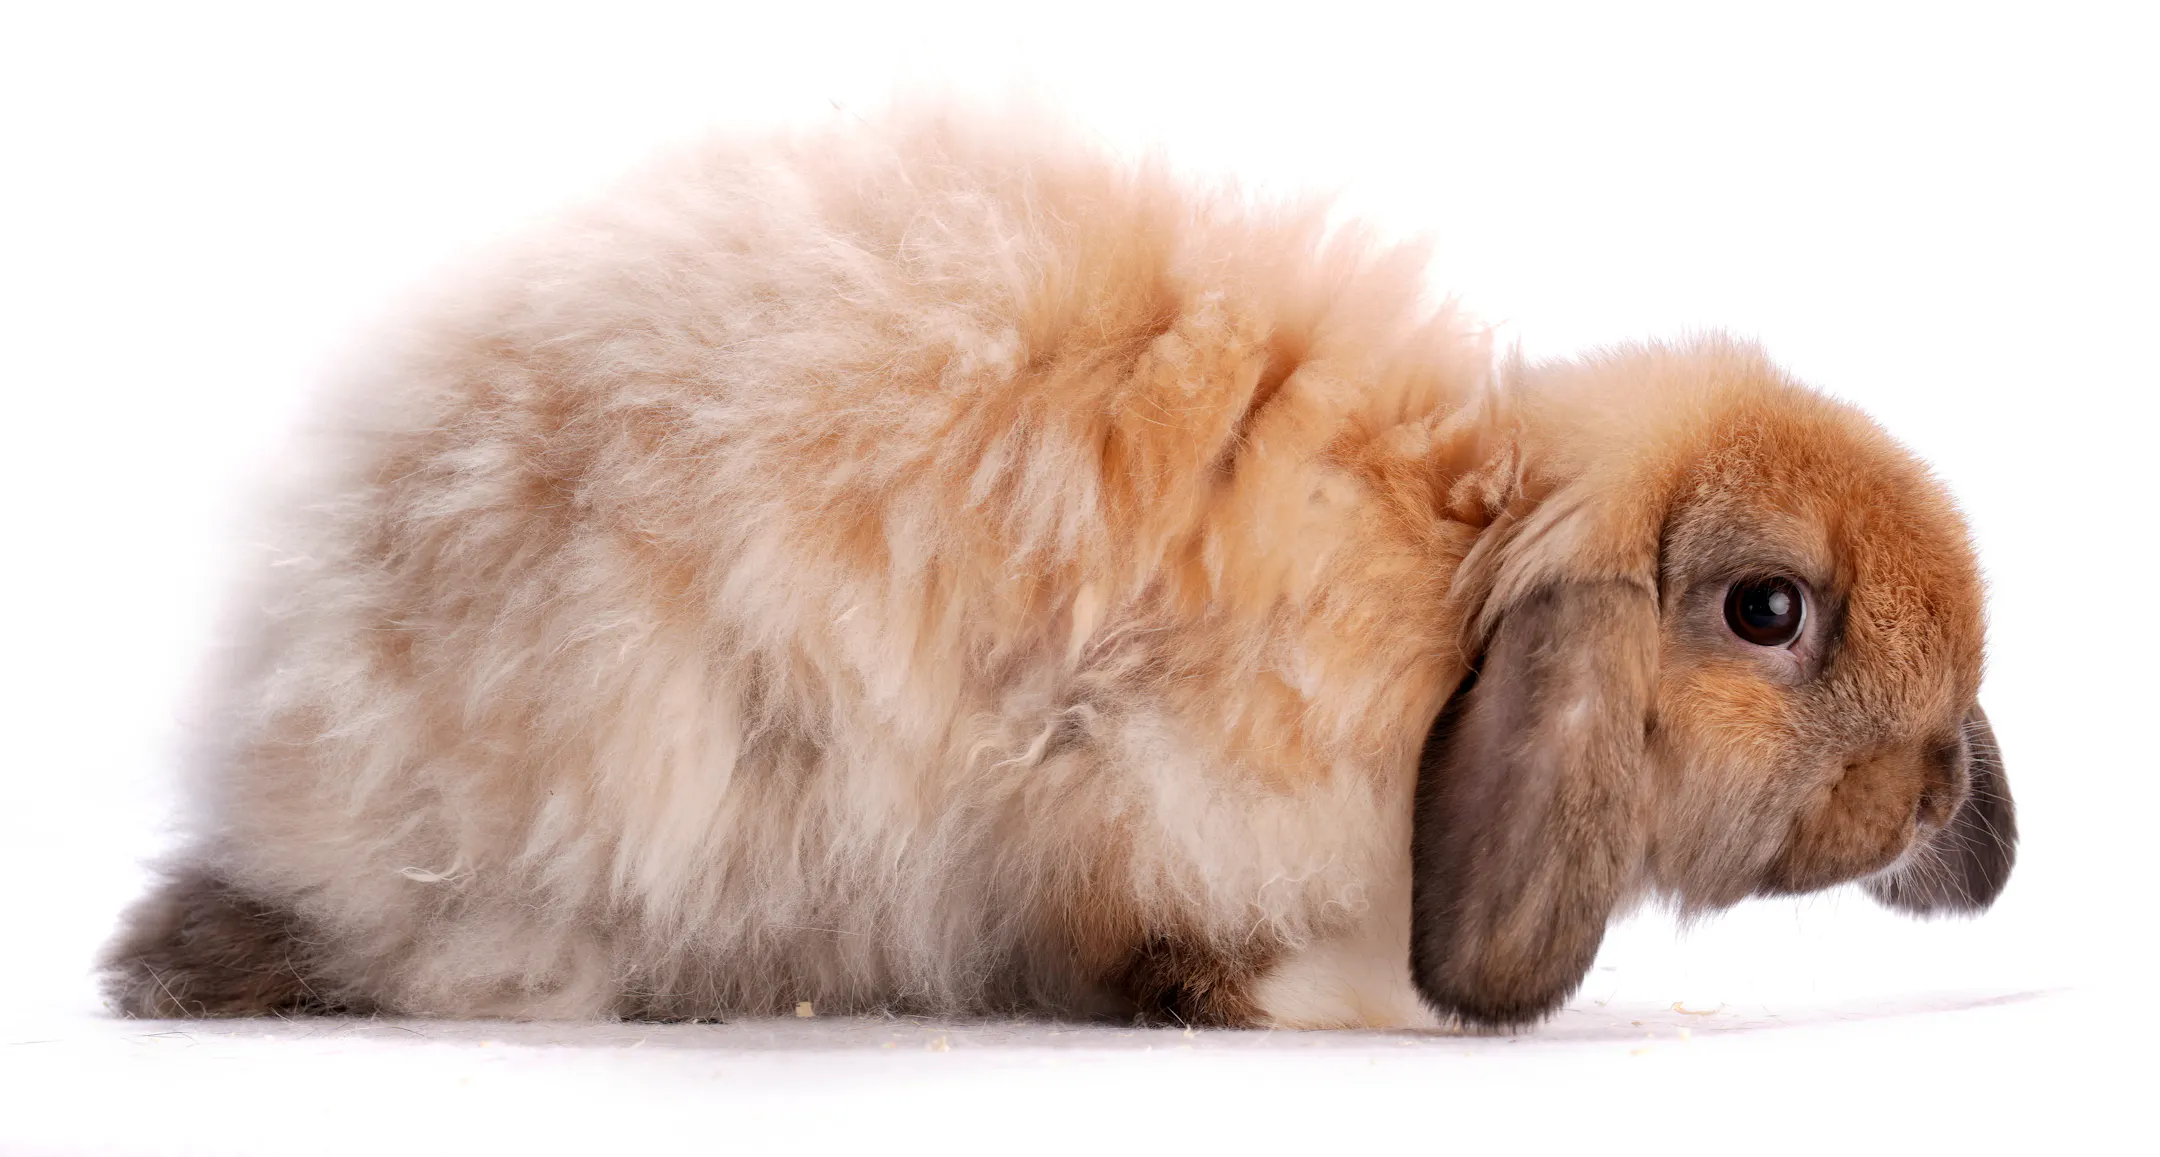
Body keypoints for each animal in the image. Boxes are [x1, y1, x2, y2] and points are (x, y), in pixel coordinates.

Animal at [100, 104, 2015, 1031]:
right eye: (1769, 611)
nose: (1940, 794)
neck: (1448, 568)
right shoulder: (1134, 777)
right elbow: (1154, 939)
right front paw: (1307, 1003)